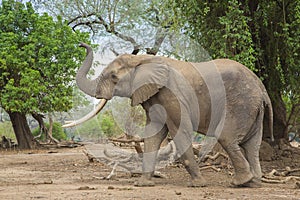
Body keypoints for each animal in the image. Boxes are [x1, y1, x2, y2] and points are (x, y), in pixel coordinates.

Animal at [63, 42, 274, 188]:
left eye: (114, 77)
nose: (80, 44)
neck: (142, 60)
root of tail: (262, 88)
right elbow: (153, 135)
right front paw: (143, 184)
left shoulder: (172, 95)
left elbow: (180, 131)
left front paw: (197, 184)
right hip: (252, 108)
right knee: (251, 145)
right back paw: (253, 183)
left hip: (240, 103)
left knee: (227, 138)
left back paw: (240, 182)